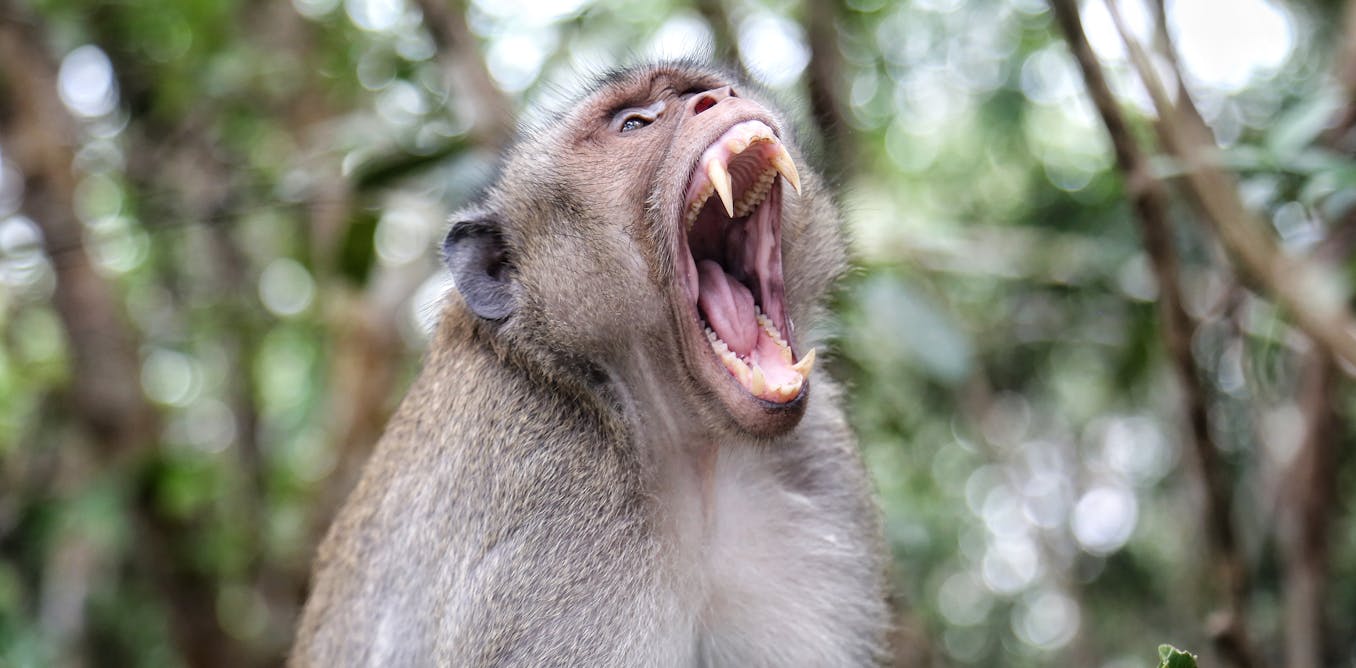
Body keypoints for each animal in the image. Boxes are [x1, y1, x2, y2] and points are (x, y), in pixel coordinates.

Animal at [291, 61, 890, 667]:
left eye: (706, 89)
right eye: (633, 123)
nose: (717, 98)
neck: (690, 449)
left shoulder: (819, 465)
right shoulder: (551, 506)